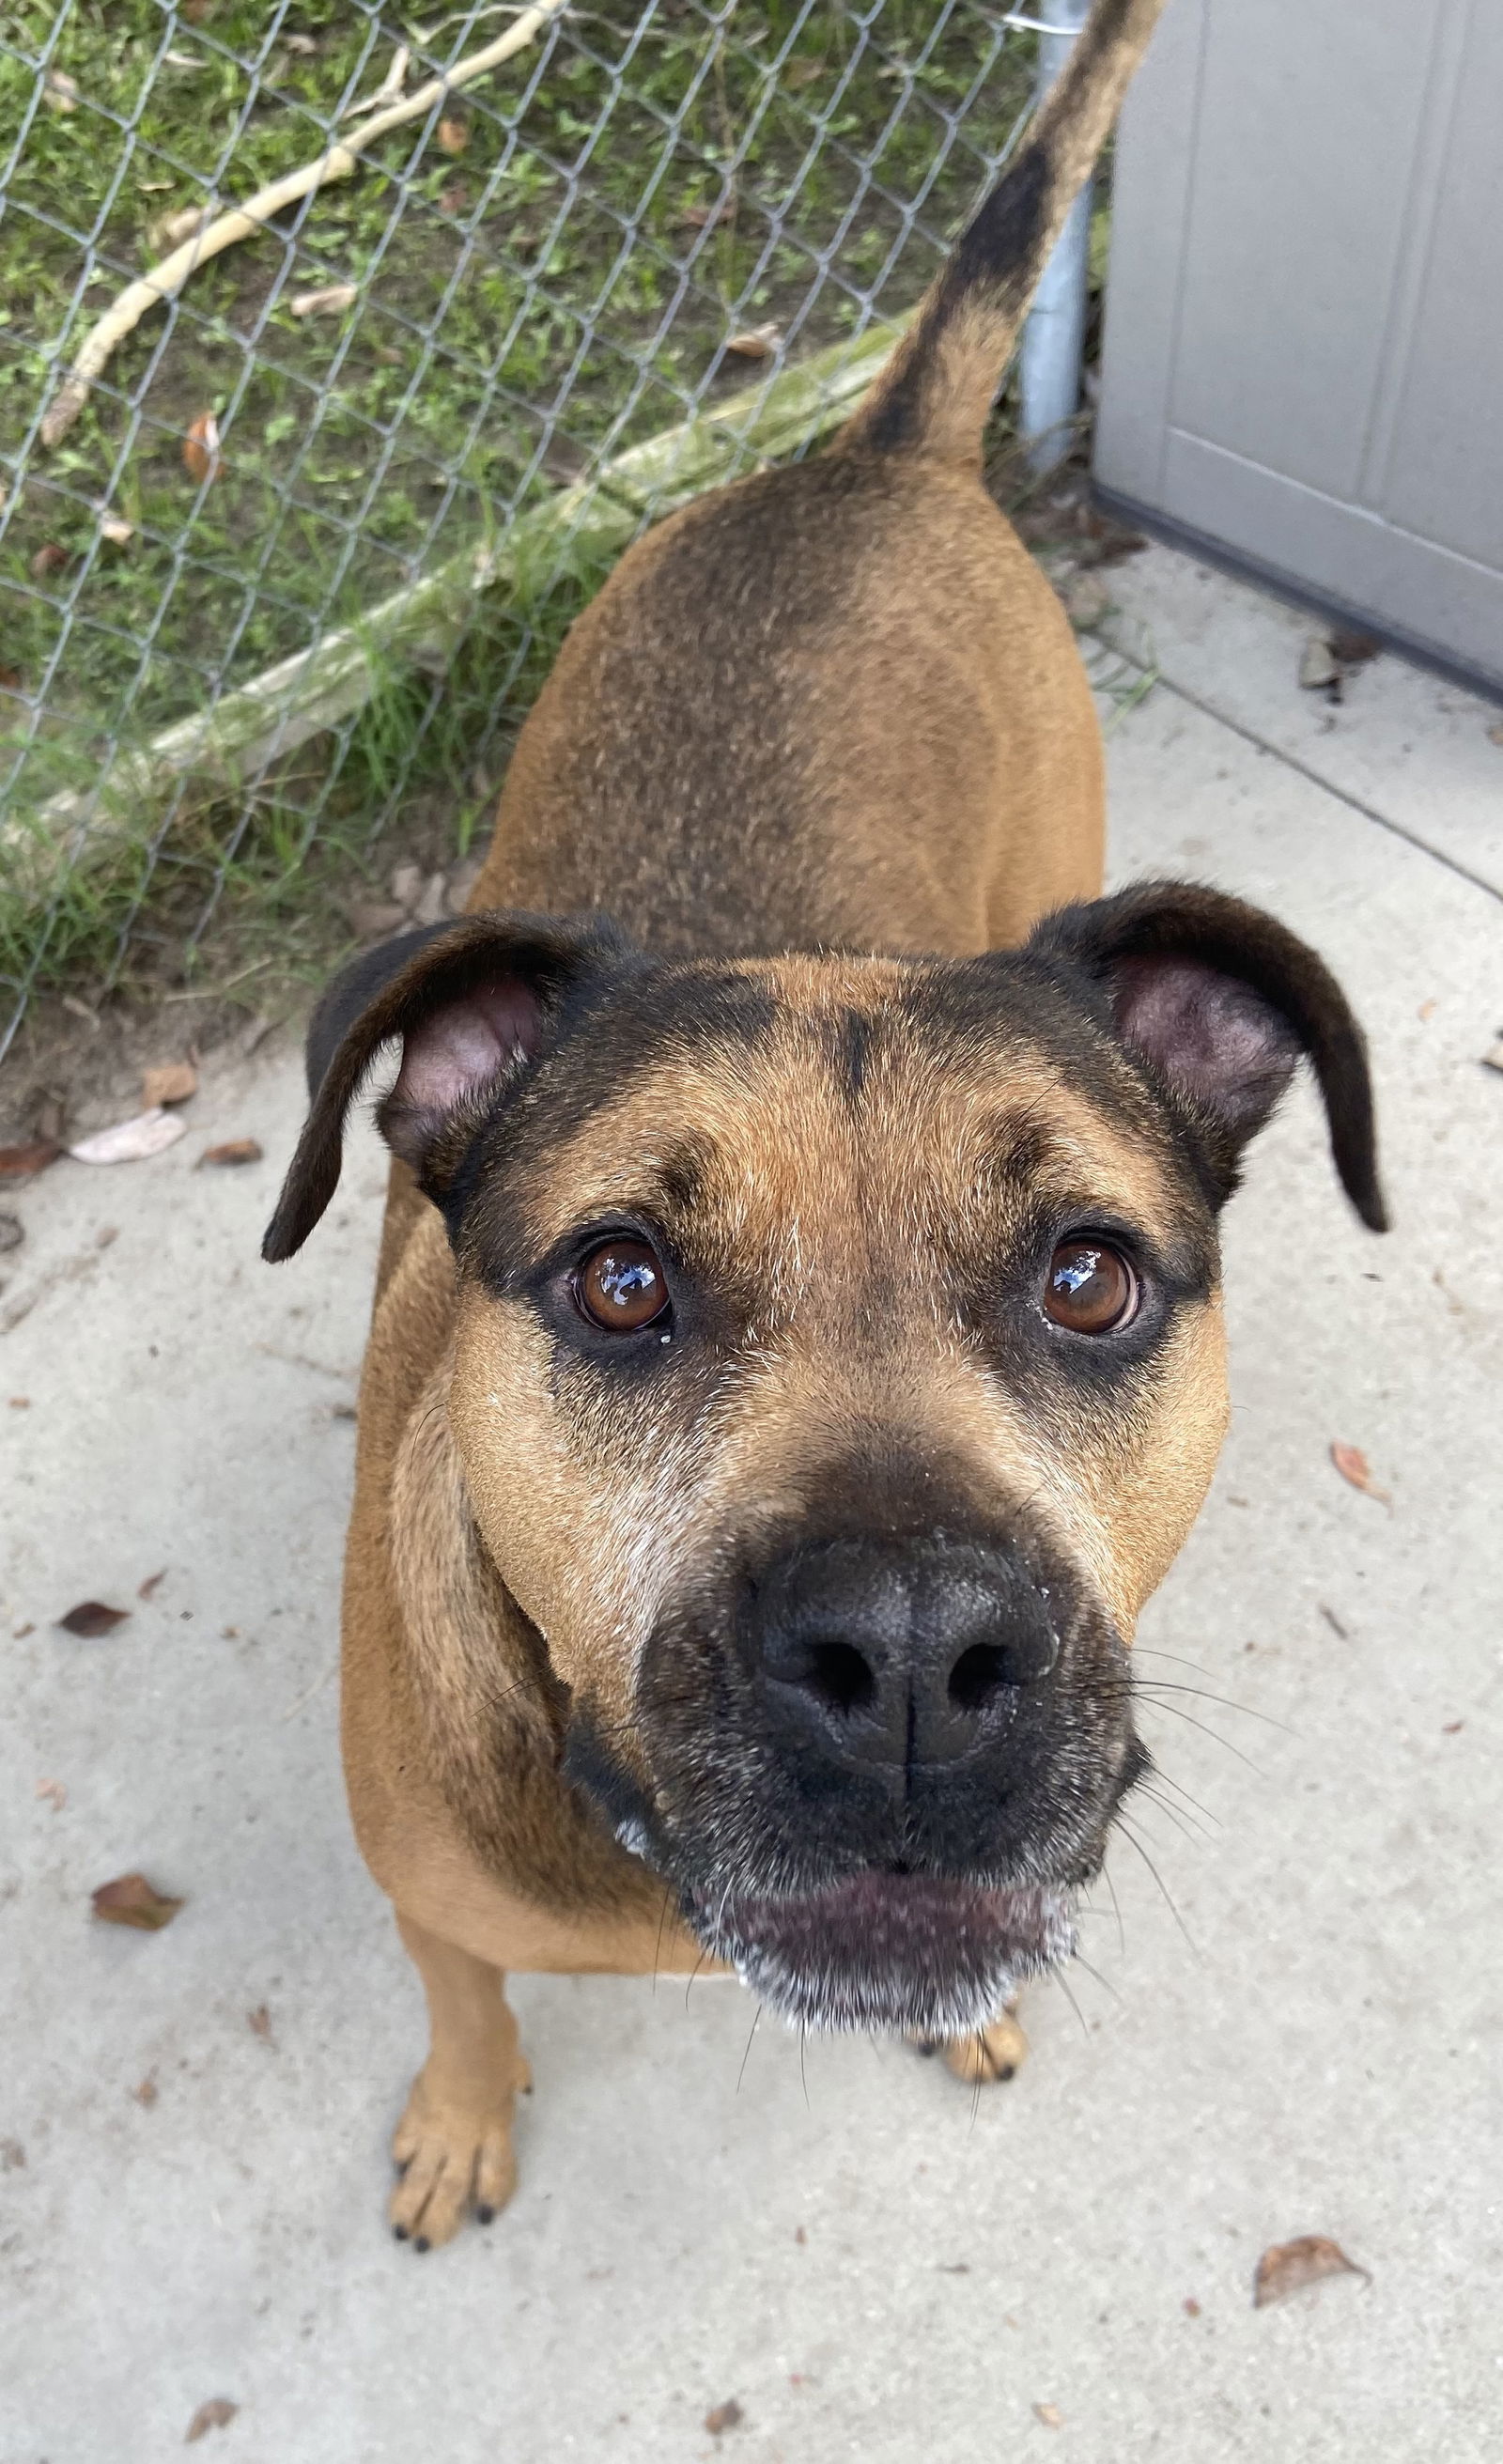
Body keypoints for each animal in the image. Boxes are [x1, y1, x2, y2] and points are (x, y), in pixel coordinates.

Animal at [263, 0, 1379, 2256]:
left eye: (1090, 1276)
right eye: (617, 1280)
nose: (914, 1651)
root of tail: (877, 461)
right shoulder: (421, 1887)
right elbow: (460, 1992)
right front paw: (461, 2116)